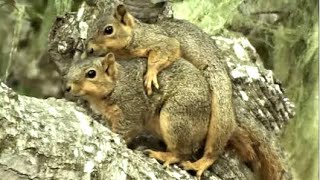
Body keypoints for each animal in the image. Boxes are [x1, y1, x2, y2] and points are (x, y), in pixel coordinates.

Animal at [85, 4, 284, 180]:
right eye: (89, 31)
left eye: (108, 30)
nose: (89, 49)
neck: (134, 33)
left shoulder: (156, 41)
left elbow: (166, 50)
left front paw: (150, 74)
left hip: (218, 106)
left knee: (214, 142)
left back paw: (199, 163)